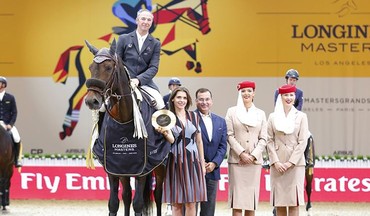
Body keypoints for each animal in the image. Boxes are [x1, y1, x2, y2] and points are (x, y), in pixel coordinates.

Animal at [84, 39, 169, 215]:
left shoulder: (143, 169)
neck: (123, 117)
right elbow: (114, 203)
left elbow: (138, 203)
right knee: (127, 195)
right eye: (90, 67)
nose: (91, 101)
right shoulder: (113, 167)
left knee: (158, 195)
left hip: (160, 165)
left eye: (108, 68)